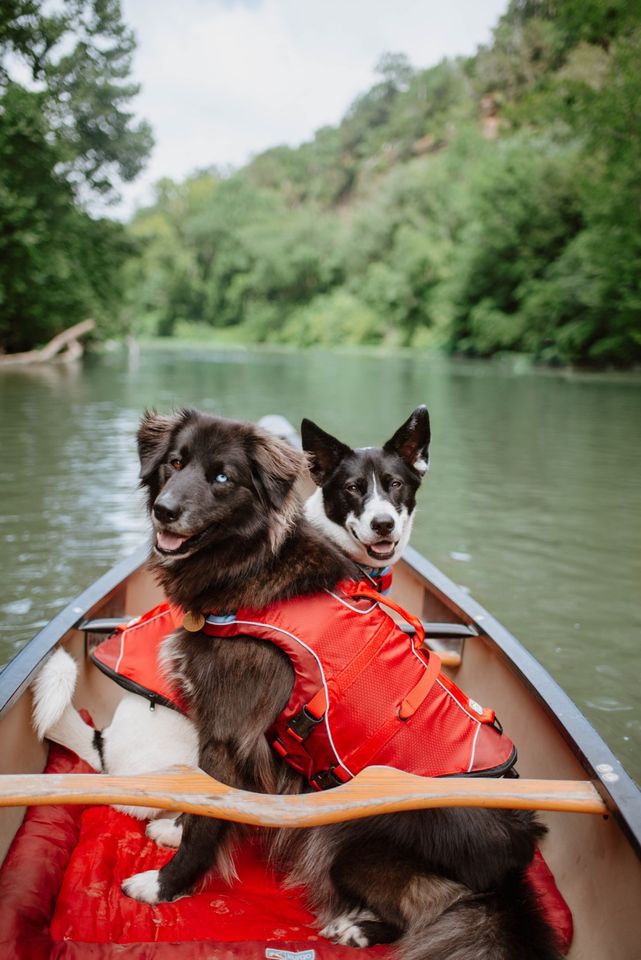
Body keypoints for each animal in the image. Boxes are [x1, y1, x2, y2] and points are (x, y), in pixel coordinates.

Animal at [124, 408, 560, 960]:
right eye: (175, 463)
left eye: (223, 477)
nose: (164, 511)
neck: (253, 562)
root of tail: (512, 870)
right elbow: (201, 804)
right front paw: (171, 827)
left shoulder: (228, 734)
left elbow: (206, 824)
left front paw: (165, 885)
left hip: (351, 835)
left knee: (425, 908)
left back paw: (358, 927)